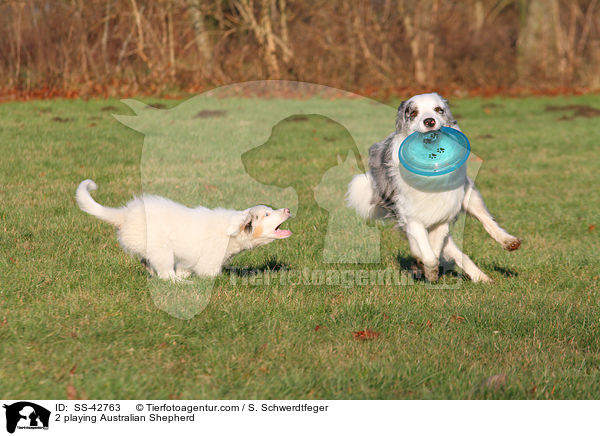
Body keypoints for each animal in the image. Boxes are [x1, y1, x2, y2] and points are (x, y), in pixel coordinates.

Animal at [76, 180, 292, 280]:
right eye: (266, 215)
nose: (288, 209)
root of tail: (124, 215)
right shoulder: (208, 265)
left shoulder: (189, 261)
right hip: (161, 249)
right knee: (166, 274)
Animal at [346, 92, 520, 282]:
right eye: (413, 112)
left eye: (438, 109)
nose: (429, 121)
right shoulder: (411, 217)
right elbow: (428, 253)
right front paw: (428, 270)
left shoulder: (444, 214)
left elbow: (435, 249)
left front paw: (429, 270)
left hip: (469, 195)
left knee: (486, 219)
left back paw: (506, 245)